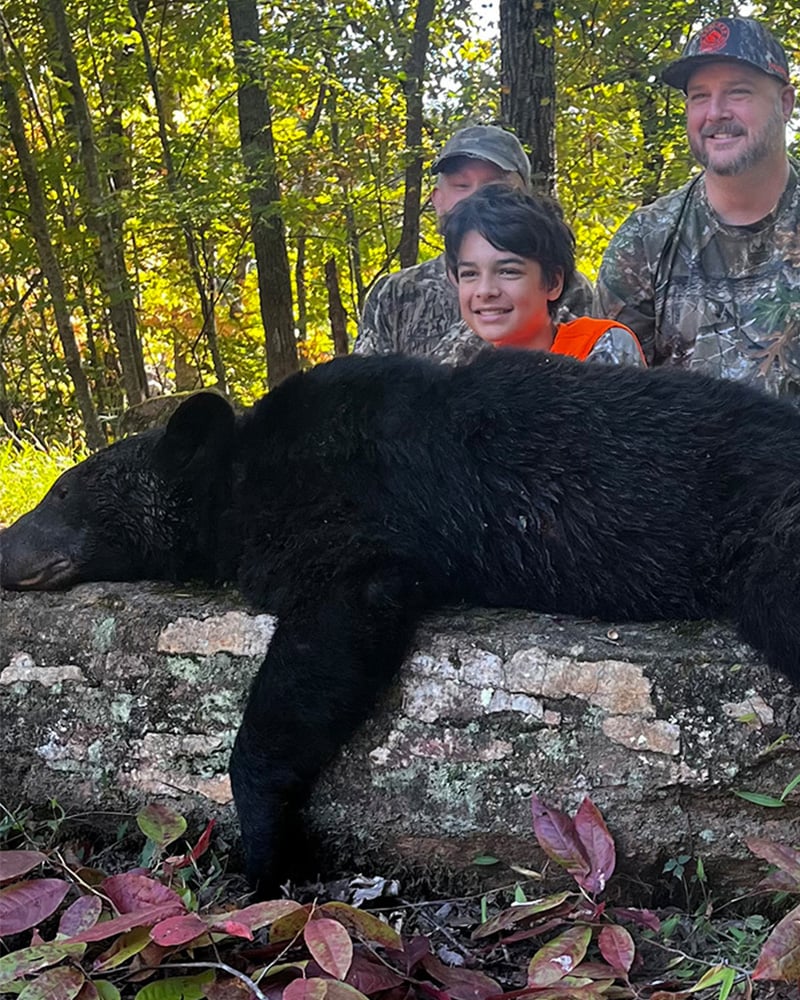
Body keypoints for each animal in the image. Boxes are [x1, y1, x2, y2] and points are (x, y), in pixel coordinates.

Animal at [2, 350, 799, 892]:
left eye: (63, 490)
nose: (4, 544)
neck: (235, 480)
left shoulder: (346, 528)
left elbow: (334, 630)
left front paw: (264, 851)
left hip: (766, 538)